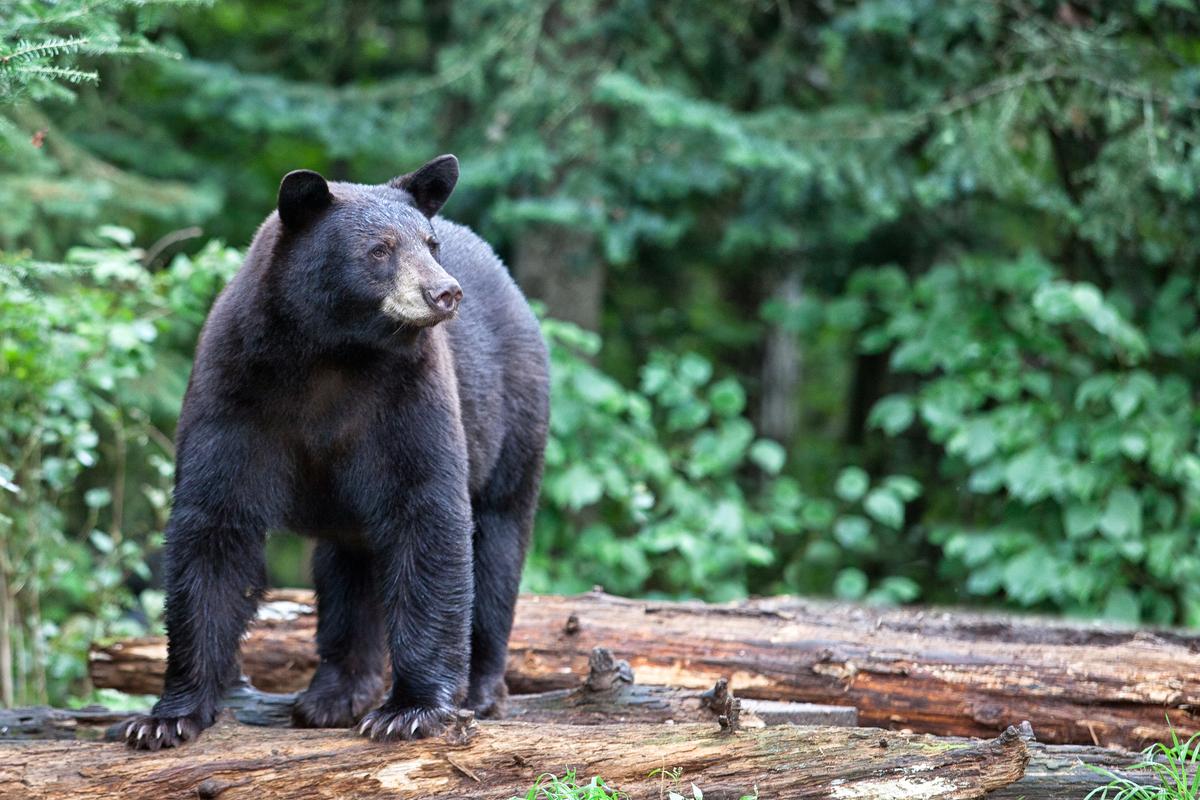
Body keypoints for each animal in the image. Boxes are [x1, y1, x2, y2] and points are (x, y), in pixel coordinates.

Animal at [122, 155, 550, 749]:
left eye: (430, 243)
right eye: (380, 249)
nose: (445, 292)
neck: (332, 353)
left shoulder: (408, 397)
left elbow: (428, 514)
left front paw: (410, 710)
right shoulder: (234, 391)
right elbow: (214, 525)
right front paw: (166, 717)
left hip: (513, 419)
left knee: (497, 543)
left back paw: (482, 689)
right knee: (348, 569)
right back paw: (334, 693)